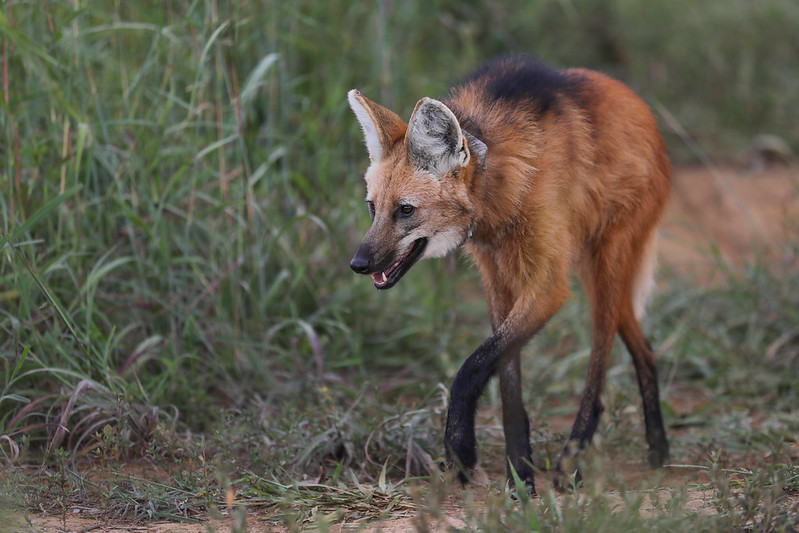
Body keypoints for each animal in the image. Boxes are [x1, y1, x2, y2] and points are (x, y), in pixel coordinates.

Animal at [346, 56, 672, 492]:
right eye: (372, 207)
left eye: (406, 210)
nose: (359, 264)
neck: (499, 189)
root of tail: (640, 106)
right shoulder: (498, 277)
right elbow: (507, 384)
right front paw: (520, 477)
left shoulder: (548, 285)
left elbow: (471, 369)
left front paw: (462, 450)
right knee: (645, 347)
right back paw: (658, 447)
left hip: (604, 265)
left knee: (599, 364)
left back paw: (574, 459)